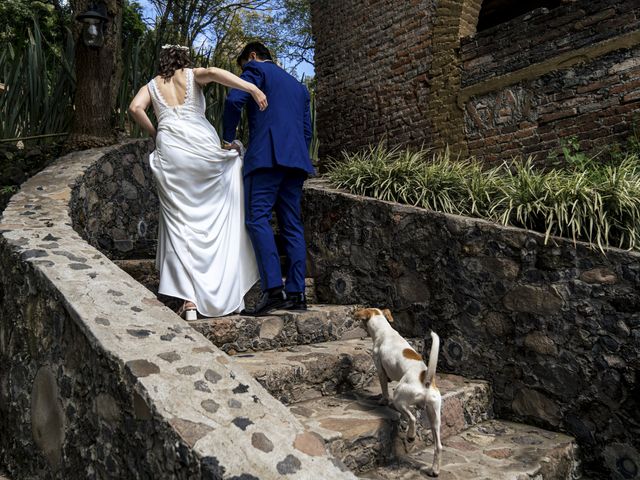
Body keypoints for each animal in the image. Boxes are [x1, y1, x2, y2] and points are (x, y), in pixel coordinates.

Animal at [356, 308, 440, 476]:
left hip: (399, 398)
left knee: (412, 418)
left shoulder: (380, 370)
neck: (384, 330)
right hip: (434, 416)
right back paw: (434, 469)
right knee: (438, 446)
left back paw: (411, 436)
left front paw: (383, 400)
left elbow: (384, 388)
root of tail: (426, 380)